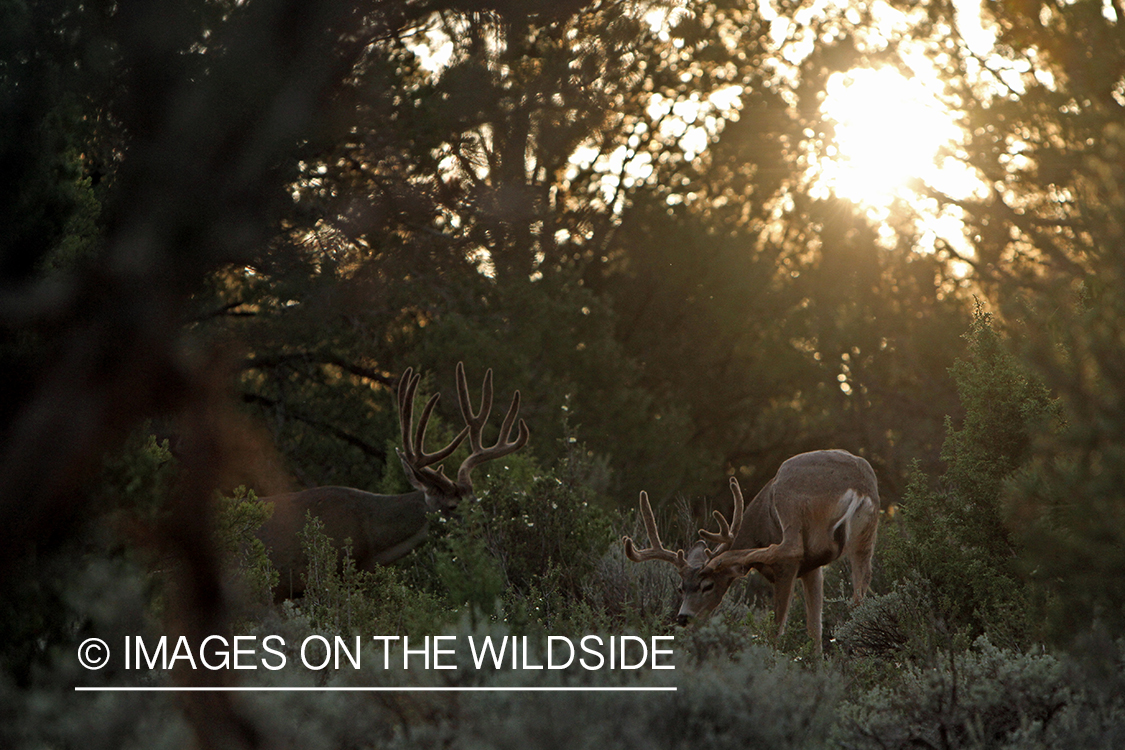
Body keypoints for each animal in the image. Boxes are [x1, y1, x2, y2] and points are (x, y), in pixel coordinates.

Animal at [623, 449, 879, 655]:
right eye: (680, 588)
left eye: (708, 586)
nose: (683, 617)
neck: (757, 528)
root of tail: (859, 486)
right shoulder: (813, 569)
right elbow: (815, 628)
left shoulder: (791, 566)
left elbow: (778, 626)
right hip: (865, 538)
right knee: (859, 598)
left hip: (788, 498)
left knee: (790, 547)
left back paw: (725, 558)